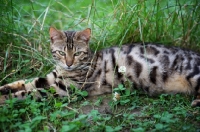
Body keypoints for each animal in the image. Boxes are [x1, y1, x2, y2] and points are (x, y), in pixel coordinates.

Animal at [0, 26, 199, 106]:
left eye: (77, 54)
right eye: (62, 53)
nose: (69, 63)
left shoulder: (63, 89)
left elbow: (27, 93)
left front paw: (4, 99)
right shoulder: (51, 79)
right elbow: (24, 82)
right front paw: (4, 88)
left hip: (193, 73)